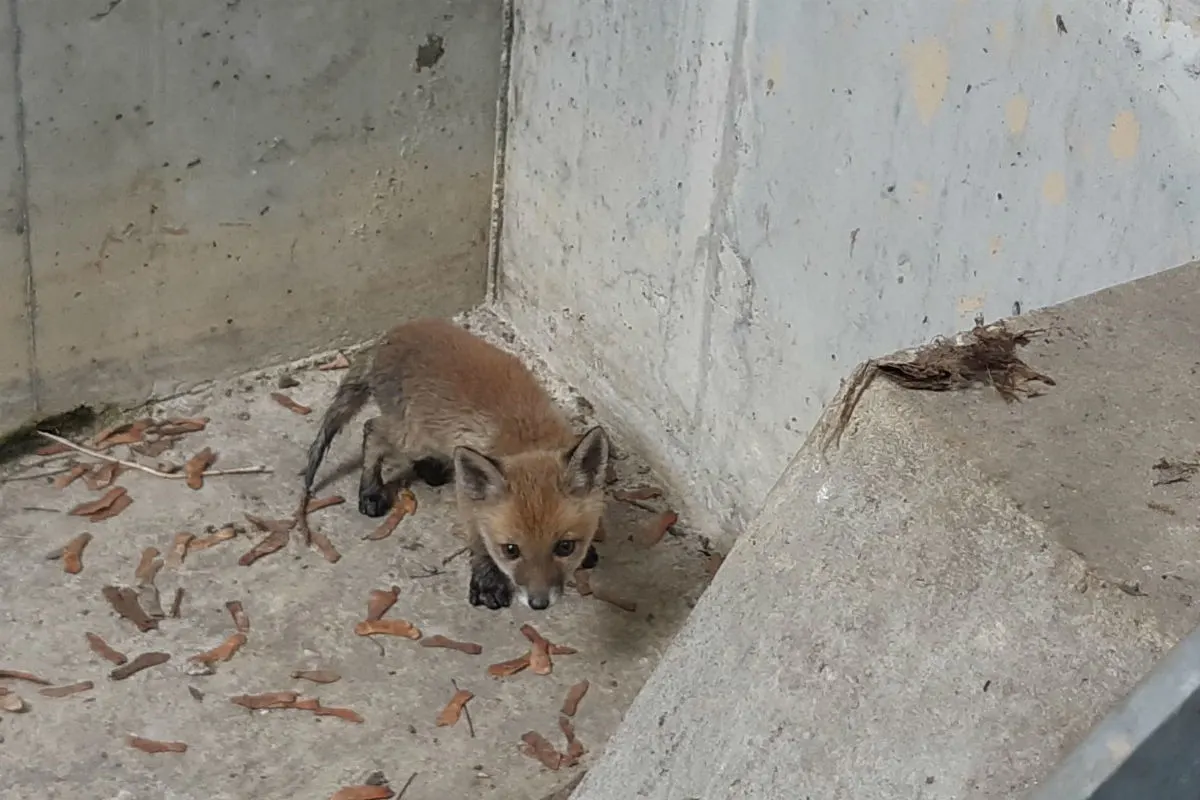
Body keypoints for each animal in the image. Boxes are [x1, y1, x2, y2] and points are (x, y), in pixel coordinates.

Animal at [300, 317, 608, 612]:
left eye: (565, 547)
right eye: (511, 550)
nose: (539, 603)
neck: (527, 440)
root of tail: (387, 337)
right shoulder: (469, 494)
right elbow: (477, 539)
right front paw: (487, 581)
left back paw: (431, 469)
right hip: (411, 437)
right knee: (372, 429)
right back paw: (371, 490)